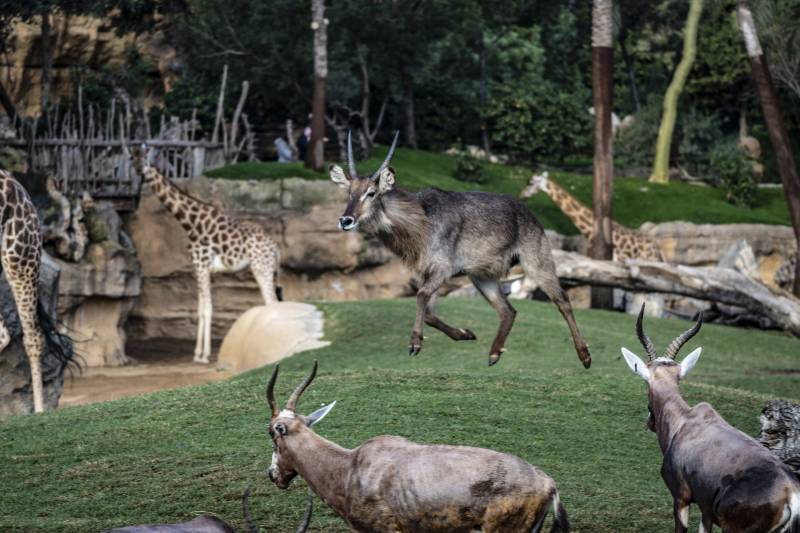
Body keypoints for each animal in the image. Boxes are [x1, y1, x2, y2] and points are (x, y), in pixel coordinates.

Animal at [140, 161, 282, 362]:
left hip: (261, 268)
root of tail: (275, 248)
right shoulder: (201, 270)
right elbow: (200, 310)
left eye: (137, 163)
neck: (191, 223)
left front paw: (204, 356)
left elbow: (207, 309)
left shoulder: (202, 266)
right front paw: (197, 354)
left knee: (272, 302)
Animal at [624, 304, 800, 532]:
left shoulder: (681, 498)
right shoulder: (706, 510)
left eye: (646, 383)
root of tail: (790, 494)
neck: (686, 421)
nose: (649, 421)